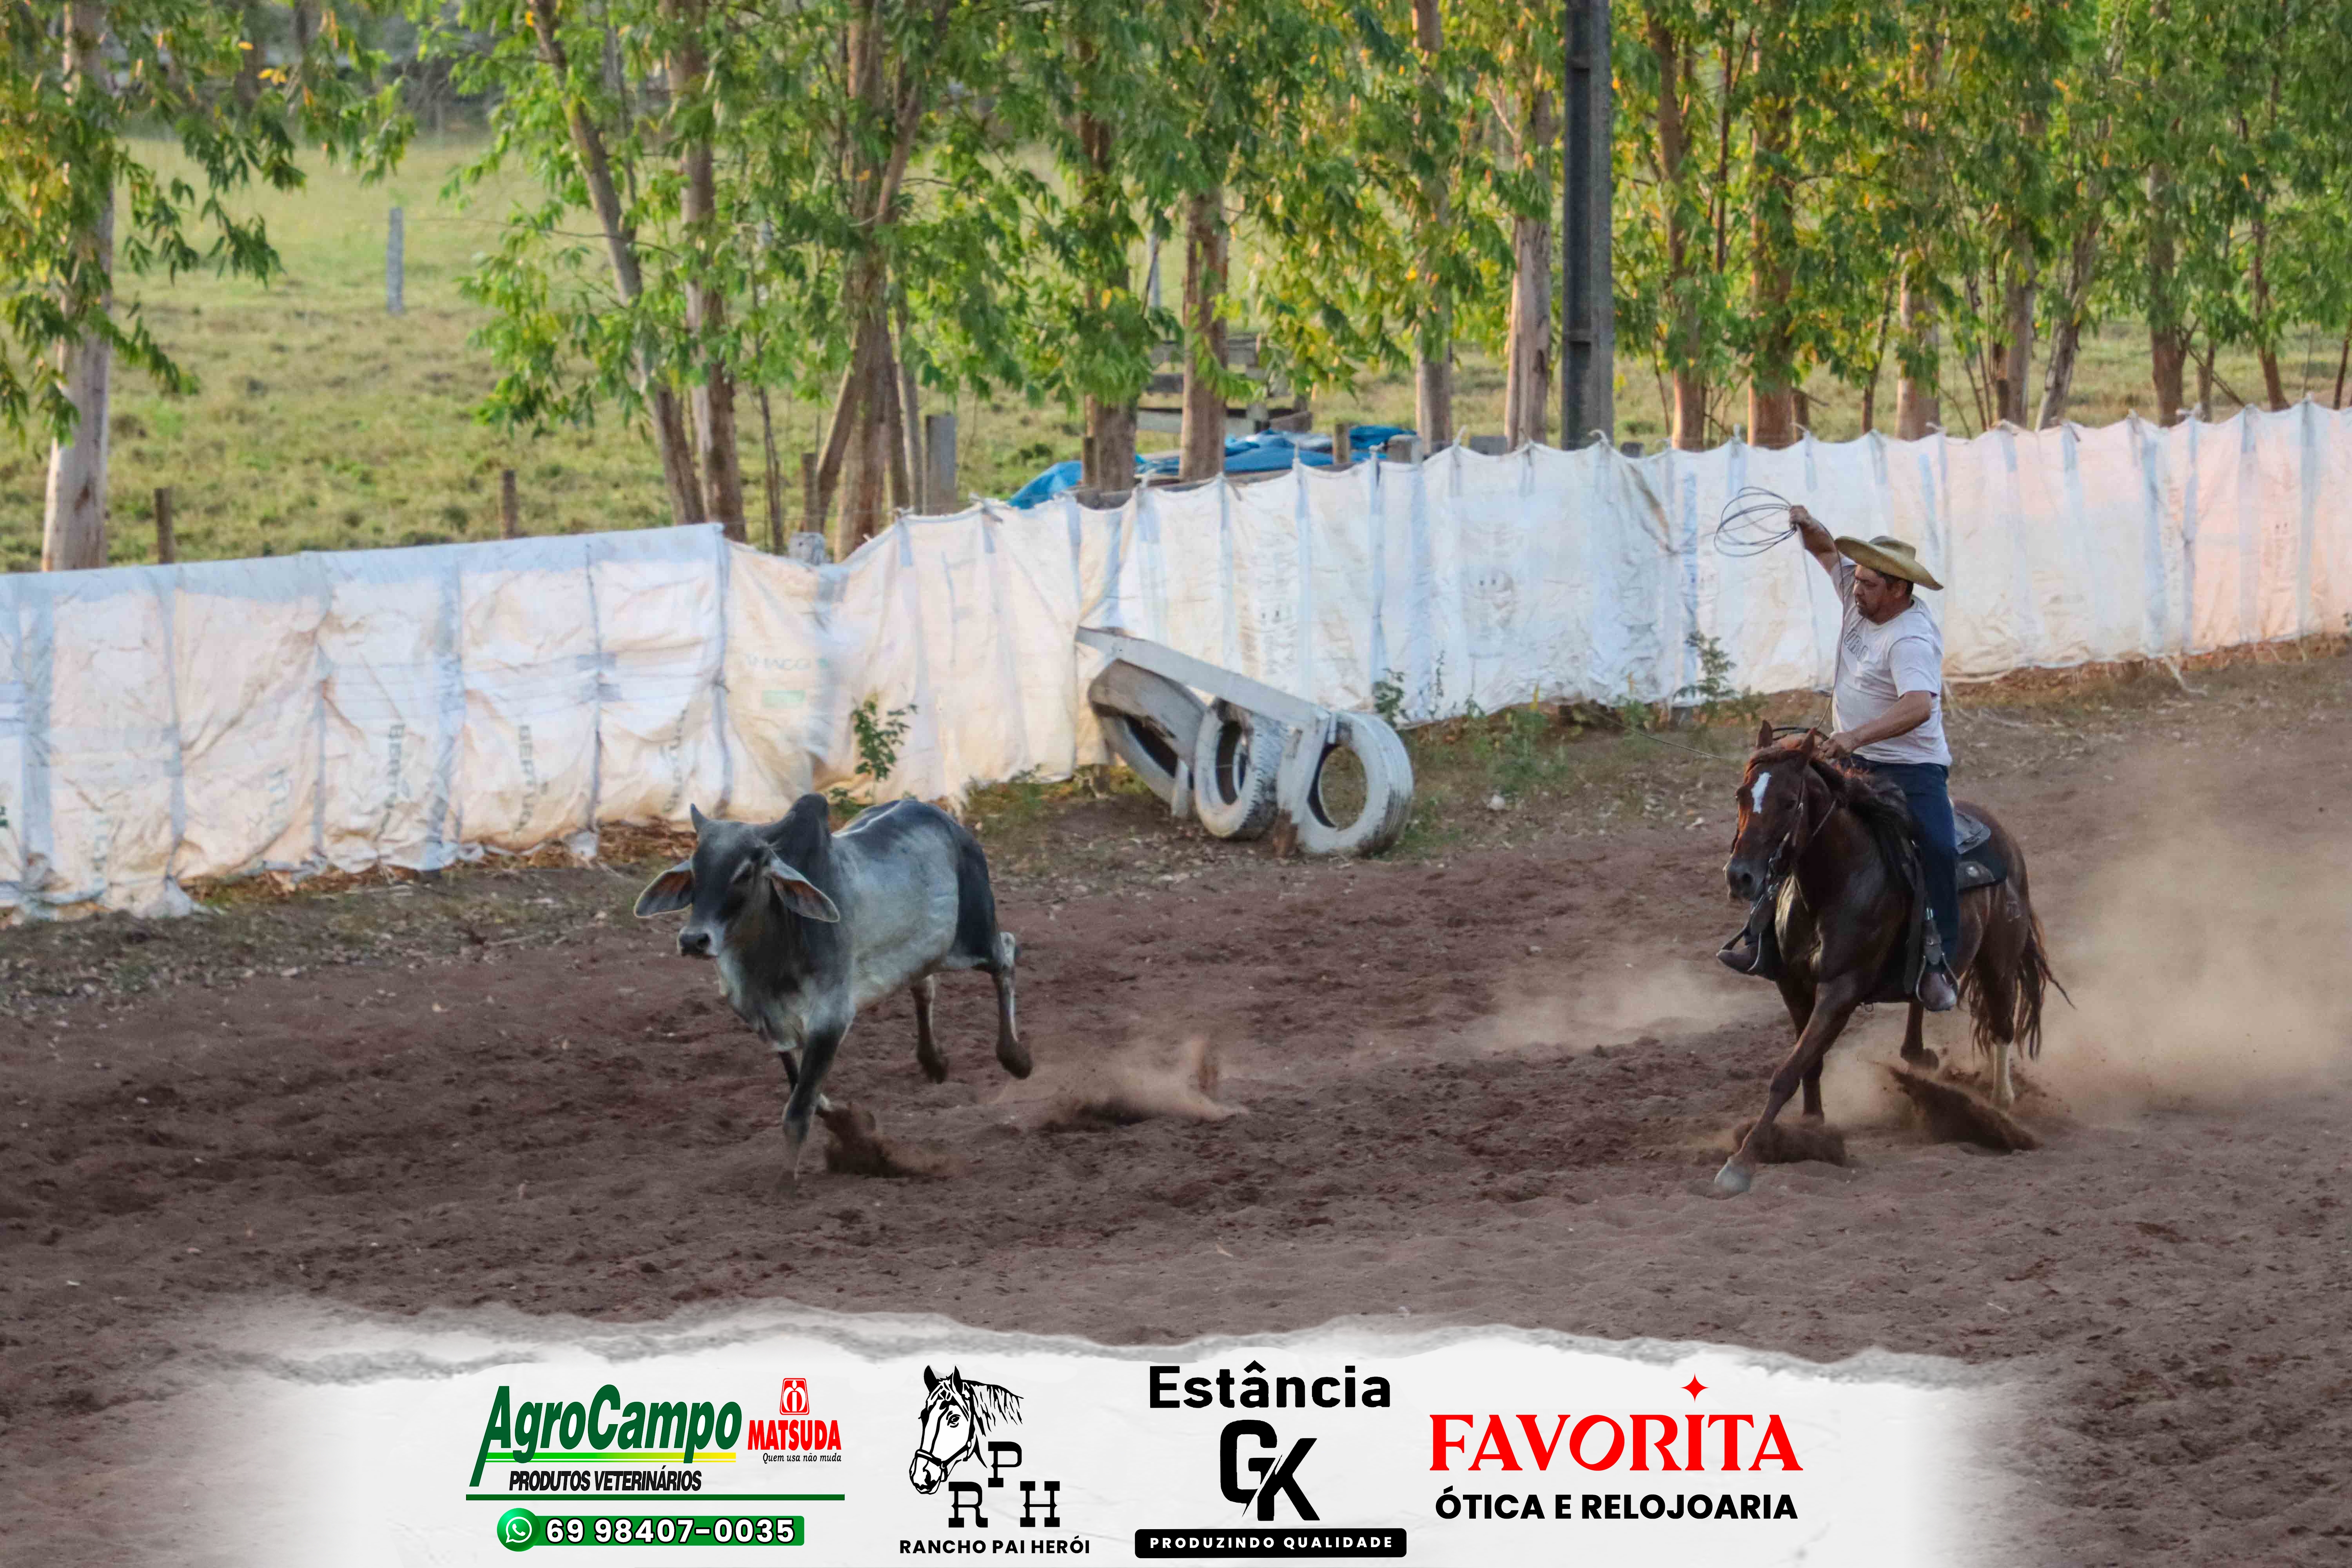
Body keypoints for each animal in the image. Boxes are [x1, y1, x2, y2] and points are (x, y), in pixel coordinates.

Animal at [633, 794, 1028, 1180]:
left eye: (744, 873)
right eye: (694, 870)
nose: (693, 940)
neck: (769, 953)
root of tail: (949, 823)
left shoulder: (830, 1019)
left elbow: (798, 1111)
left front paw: (785, 1184)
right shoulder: (772, 1025)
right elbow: (806, 1093)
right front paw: (848, 1122)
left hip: (974, 938)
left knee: (1006, 954)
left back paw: (1016, 1058)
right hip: (926, 952)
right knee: (925, 984)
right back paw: (935, 1062)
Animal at [1714, 720, 2064, 1195]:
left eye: (1789, 801)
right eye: (1741, 795)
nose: (1741, 877)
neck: (1834, 884)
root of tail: (2005, 838)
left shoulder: (1841, 990)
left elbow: (1788, 1071)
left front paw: (1742, 1161)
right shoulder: (1794, 984)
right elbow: (1809, 1063)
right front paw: (1811, 1129)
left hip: (1999, 961)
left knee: (2002, 1025)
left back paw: (2000, 1105)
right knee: (1923, 993)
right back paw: (1919, 1053)